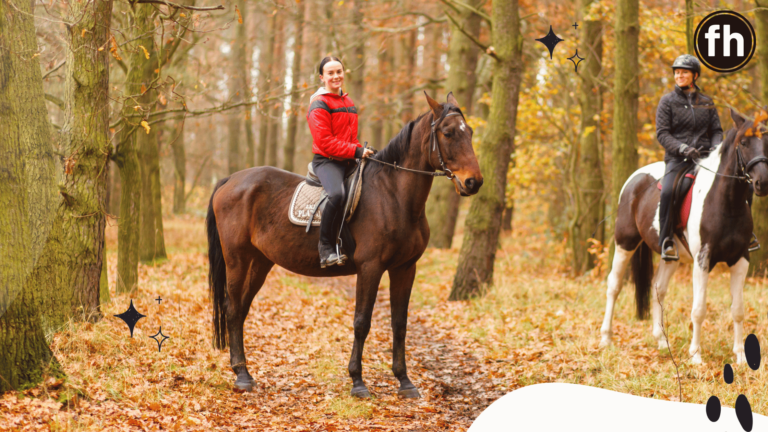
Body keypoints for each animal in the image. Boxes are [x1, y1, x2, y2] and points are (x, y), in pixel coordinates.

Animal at [206, 92, 483, 397]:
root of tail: (231, 179)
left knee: (241, 310)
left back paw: (243, 371)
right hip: (237, 259)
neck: (393, 196)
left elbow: (399, 324)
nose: (474, 182)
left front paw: (405, 381)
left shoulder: (405, 268)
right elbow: (362, 322)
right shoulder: (370, 267)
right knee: (232, 309)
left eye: (469, 132)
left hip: (260, 262)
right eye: (448, 133)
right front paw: (358, 382)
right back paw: (241, 376)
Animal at [599, 108, 768, 364]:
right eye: (744, 142)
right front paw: (696, 355)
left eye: (766, 141)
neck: (726, 203)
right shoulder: (702, 260)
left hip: (670, 256)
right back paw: (606, 338)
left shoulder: (740, 260)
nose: (762, 183)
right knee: (614, 285)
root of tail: (634, 179)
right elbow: (698, 310)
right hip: (625, 243)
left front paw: (740, 355)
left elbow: (738, 309)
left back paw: (661, 341)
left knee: (658, 289)